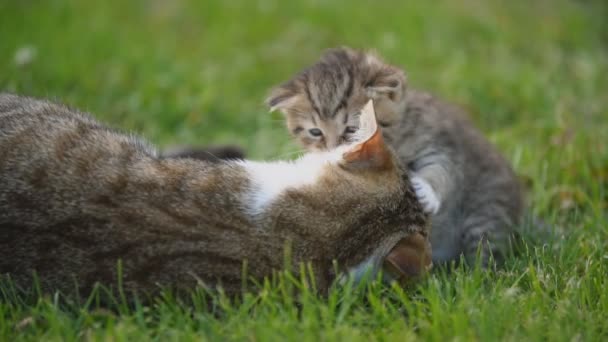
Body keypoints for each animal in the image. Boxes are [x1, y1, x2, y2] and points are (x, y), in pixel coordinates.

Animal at [266, 47, 524, 268]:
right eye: (315, 132)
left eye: (351, 129)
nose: (332, 151)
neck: (393, 140)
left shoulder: (439, 142)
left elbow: (442, 168)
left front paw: (426, 190)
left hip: (487, 205)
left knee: (487, 248)